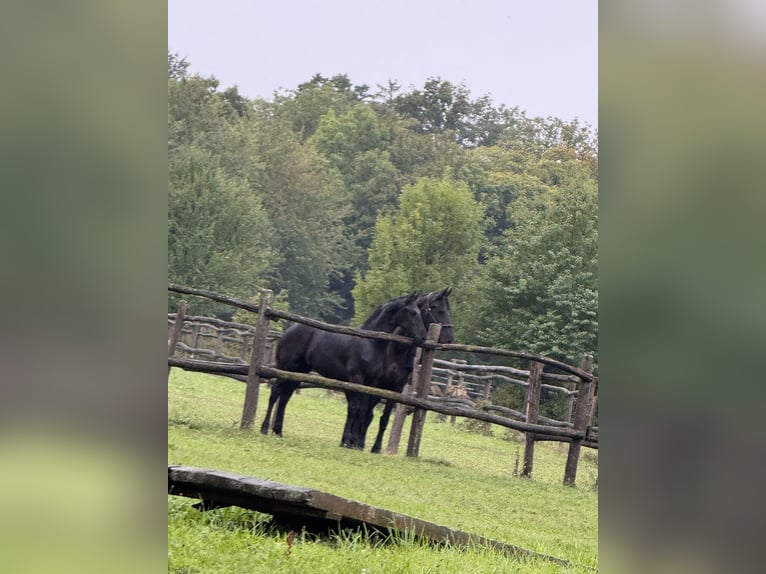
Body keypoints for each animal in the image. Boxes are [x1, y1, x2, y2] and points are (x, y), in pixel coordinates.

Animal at [259, 293, 428, 448]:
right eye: (413, 312)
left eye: (420, 312)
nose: (423, 337)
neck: (370, 342)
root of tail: (288, 331)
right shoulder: (356, 379)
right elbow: (355, 408)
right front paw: (348, 440)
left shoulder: (370, 383)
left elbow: (363, 410)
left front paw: (354, 442)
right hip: (285, 368)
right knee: (275, 393)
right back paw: (264, 428)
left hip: (298, 372)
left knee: (285, 397)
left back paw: (278, 431)